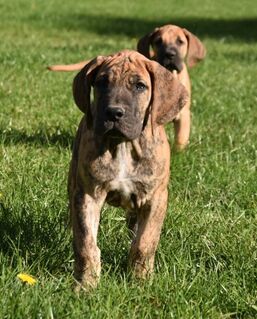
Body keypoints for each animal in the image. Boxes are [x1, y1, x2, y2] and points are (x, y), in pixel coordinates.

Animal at [69, 50, 187, 290]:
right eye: (101, 83)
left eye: (140, 86)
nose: (114, 113)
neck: (123, 145)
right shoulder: (87, 196)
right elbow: (86, 243)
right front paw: (86, 284)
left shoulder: (156, 198)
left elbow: (145, 242)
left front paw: (140, 280)